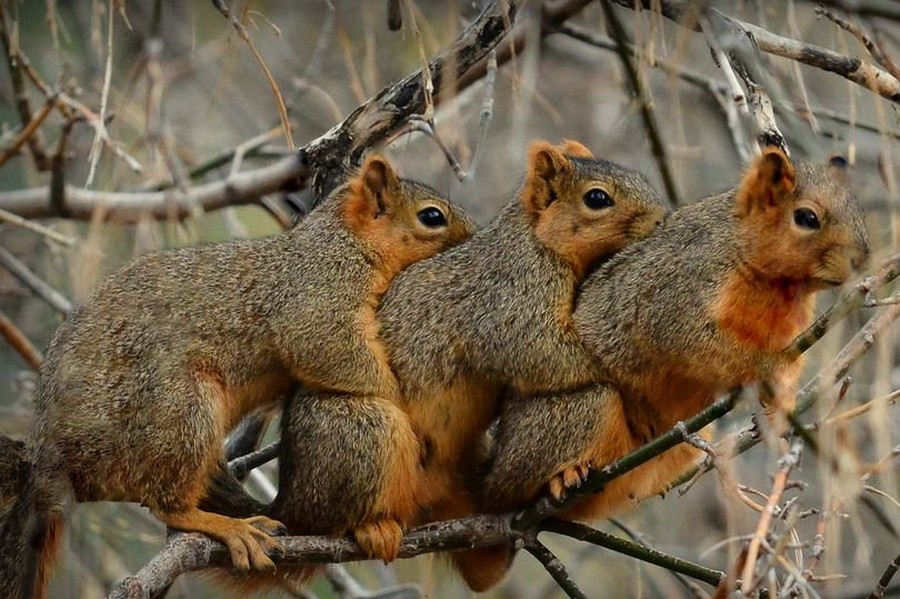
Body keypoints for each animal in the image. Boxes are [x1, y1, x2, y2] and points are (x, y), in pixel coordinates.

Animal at [0, 155, 474, 599]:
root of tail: (53, 453)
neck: (342, 238)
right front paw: (408, 409)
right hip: (179, 408)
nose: (471, 238)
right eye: (432, 216)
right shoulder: (318, 292)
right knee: (165, 502)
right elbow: (326, 346)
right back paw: (226, 525)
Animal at [200, 137, 668, 592]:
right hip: (359, 436)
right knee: (332, 519)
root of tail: (289, 507)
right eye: (597, 198)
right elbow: (541, 352)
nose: (660, 220)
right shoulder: (510, 298)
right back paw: (369, 528)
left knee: (483, 568)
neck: (534, 238)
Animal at [458, 148, 872, 592]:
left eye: (856, 208)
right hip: (567, 417)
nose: (862, 261)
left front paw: (779, 406)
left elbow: (791, 367)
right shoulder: (677, 295)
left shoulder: (795, 331)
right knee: (520, 485)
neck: (780, 287)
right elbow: (699, 345)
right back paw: (562, 476)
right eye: (807, 218)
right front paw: (760, 371)